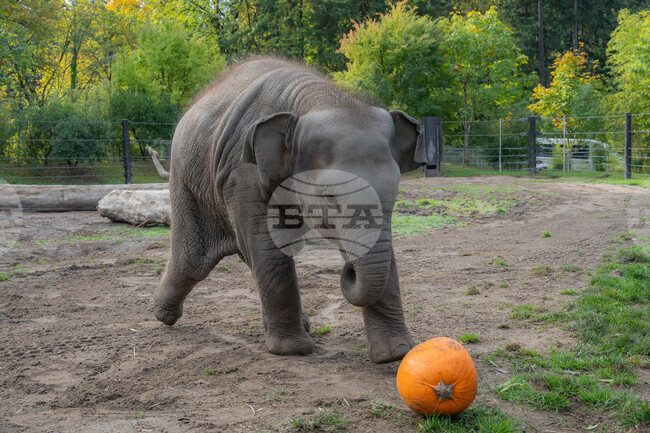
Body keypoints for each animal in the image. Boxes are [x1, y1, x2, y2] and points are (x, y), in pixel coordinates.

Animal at [153, 57, 429, 363]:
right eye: (330, 198)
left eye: (394, 194)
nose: (349, 270)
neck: (322, 100)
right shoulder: (242, 172)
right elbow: (266, 243)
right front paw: (293, 350)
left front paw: (395, 354)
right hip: (187, 179)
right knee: (194, 260)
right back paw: (163, 315)